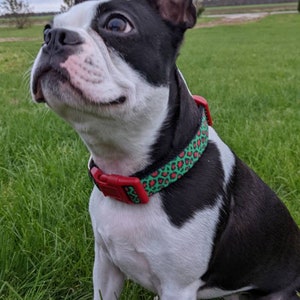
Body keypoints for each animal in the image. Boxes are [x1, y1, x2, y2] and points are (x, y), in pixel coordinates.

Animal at [31, 0, 300, 298]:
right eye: (46, 29)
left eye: (116, 24)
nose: (54, 37)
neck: (134, 178)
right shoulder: (105, 264)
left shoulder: (177, 286)